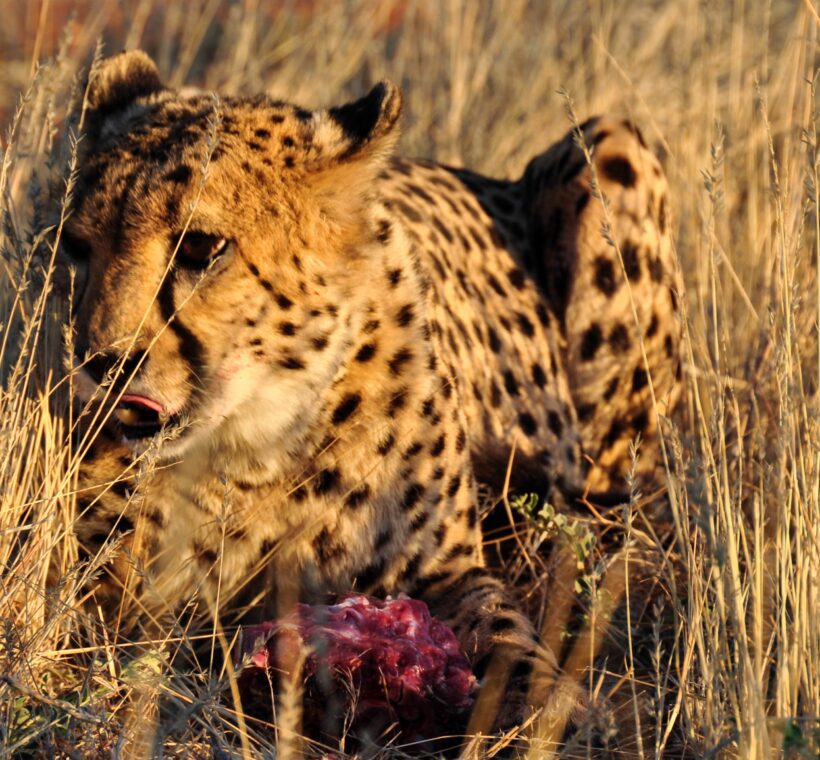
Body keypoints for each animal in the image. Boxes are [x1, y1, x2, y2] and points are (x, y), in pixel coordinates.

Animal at [62, 52, 680, 736]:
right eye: (77, 247)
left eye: (200, 247)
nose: (100, 361)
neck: (261, 437)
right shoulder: (114, 587)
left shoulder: (445, 574)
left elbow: (506, 634)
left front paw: (550, 708)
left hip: (609, 143)